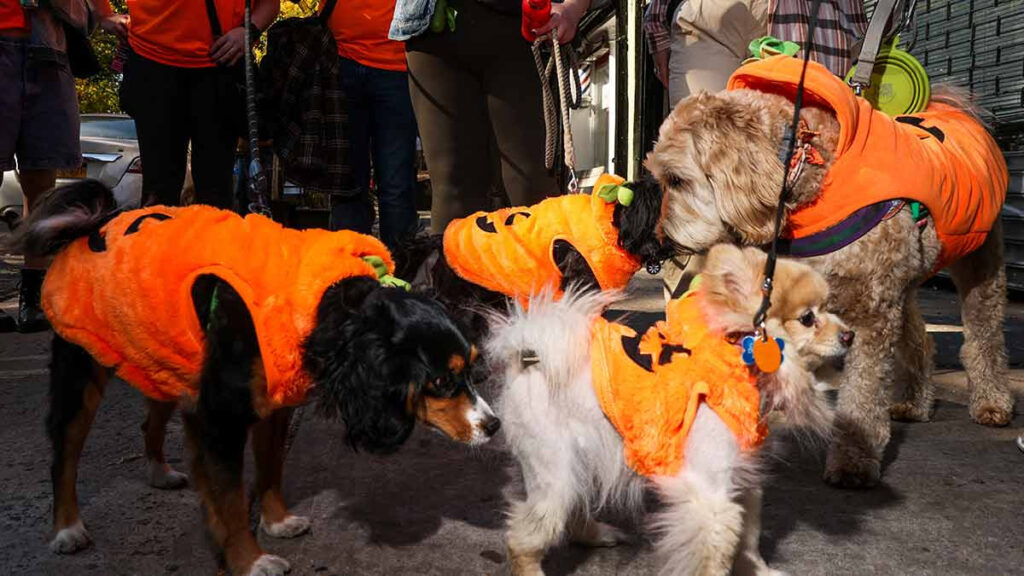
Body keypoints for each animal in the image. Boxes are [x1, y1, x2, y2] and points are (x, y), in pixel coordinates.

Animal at [12, 181, 499, 573]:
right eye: (441, 382)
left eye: (472, 368)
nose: (494, 425)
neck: (328, 306)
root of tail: (91, 226)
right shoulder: (221, 418)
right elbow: (228, 503)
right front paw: (250, 561)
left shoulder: (273, 406)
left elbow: (270, 469)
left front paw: (277, 522)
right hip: (81, 371)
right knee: (64, 453)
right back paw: (67, 529)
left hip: (164, 357)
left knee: (150, 420)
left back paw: (158, 471)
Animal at [489, 242, 856, 573]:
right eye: (808, 318)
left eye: (829, 308)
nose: (850, 335)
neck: (737, 363)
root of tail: (527, 357)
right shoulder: (710, 497)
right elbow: (716, 558)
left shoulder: (743, 481)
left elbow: (748, 542)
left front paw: (759, 571)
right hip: (555, 469)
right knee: (523, 536)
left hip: (582, 460)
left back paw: (596, 534)